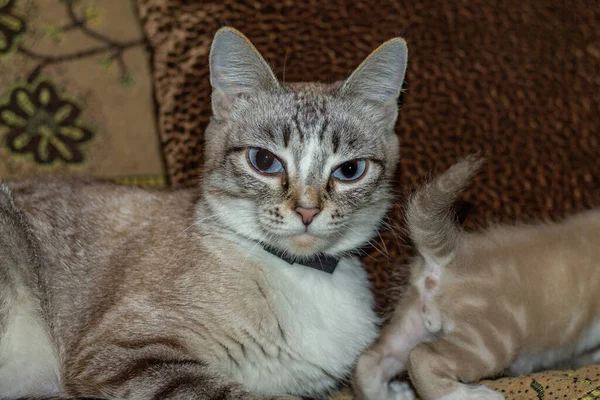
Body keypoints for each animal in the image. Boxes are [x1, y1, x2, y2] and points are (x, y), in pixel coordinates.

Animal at [0, 26, 408, 398]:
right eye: (264, 161)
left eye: (349, 170)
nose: (307, 211)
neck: (303, 275)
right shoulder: (121, 354)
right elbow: (239, 394)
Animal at [354, 157, 600, 400]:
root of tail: (454, 253)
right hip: (489, 340)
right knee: (423, 357)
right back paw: (470, 395)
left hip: (413, 322)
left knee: (370, 360)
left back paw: (388, 394)